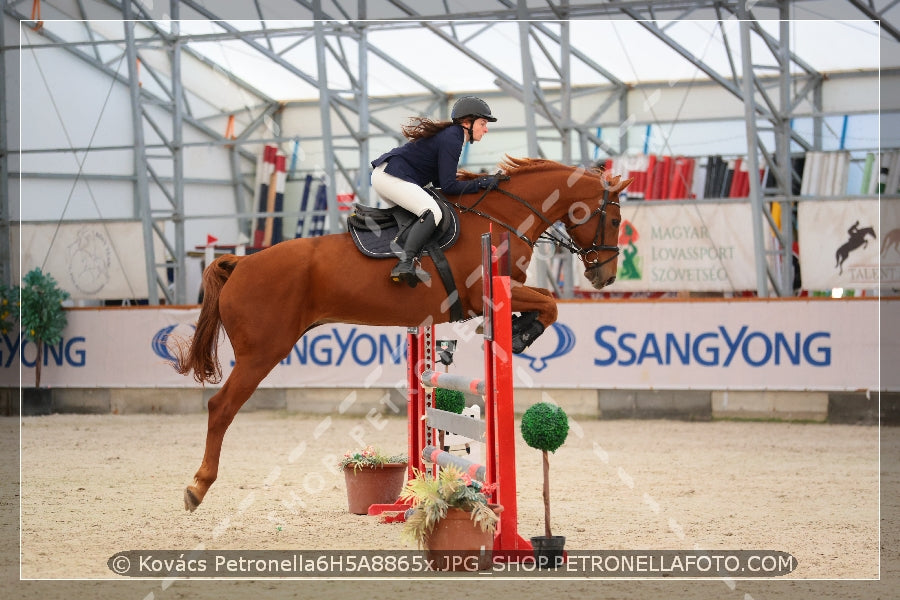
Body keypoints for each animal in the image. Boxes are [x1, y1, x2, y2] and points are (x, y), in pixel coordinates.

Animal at [174, 158, 624, 510]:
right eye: (616, 219)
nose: (605, 276)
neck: (501, 217)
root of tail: (241, 264)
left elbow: (547, 302)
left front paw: (518, 329)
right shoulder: (484, 291)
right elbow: (551, 303)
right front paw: (519, 334)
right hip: (262, 352)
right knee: (220, 407)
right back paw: (197, 487)